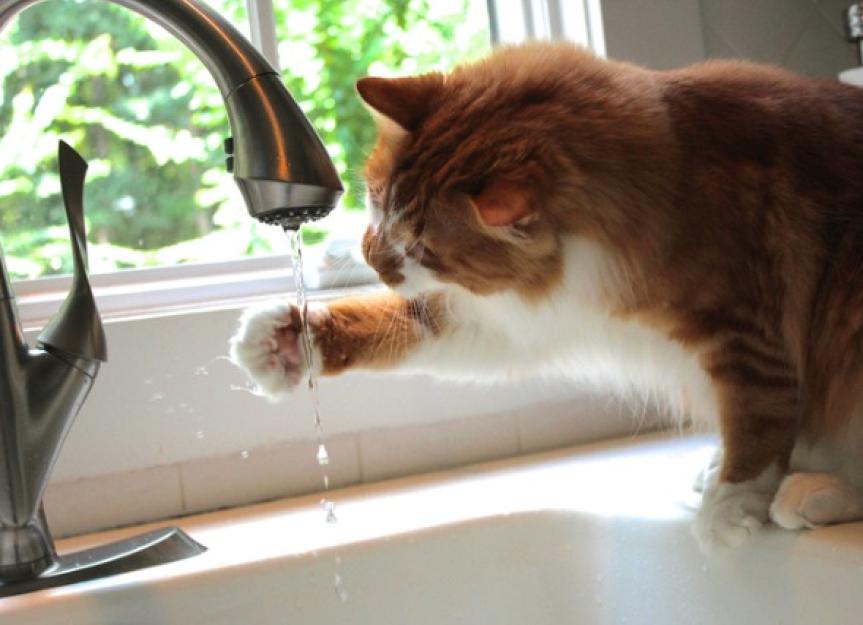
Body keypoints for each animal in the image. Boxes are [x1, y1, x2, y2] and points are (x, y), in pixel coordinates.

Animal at [230, 41, 863, 548]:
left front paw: (730, 509)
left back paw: (805, 494)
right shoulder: (518, 317)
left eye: (425, 249)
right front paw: (285, 340)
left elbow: (757, 425)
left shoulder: (746, 334)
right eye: (378, 200)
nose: (373, 260)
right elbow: (396, 323)